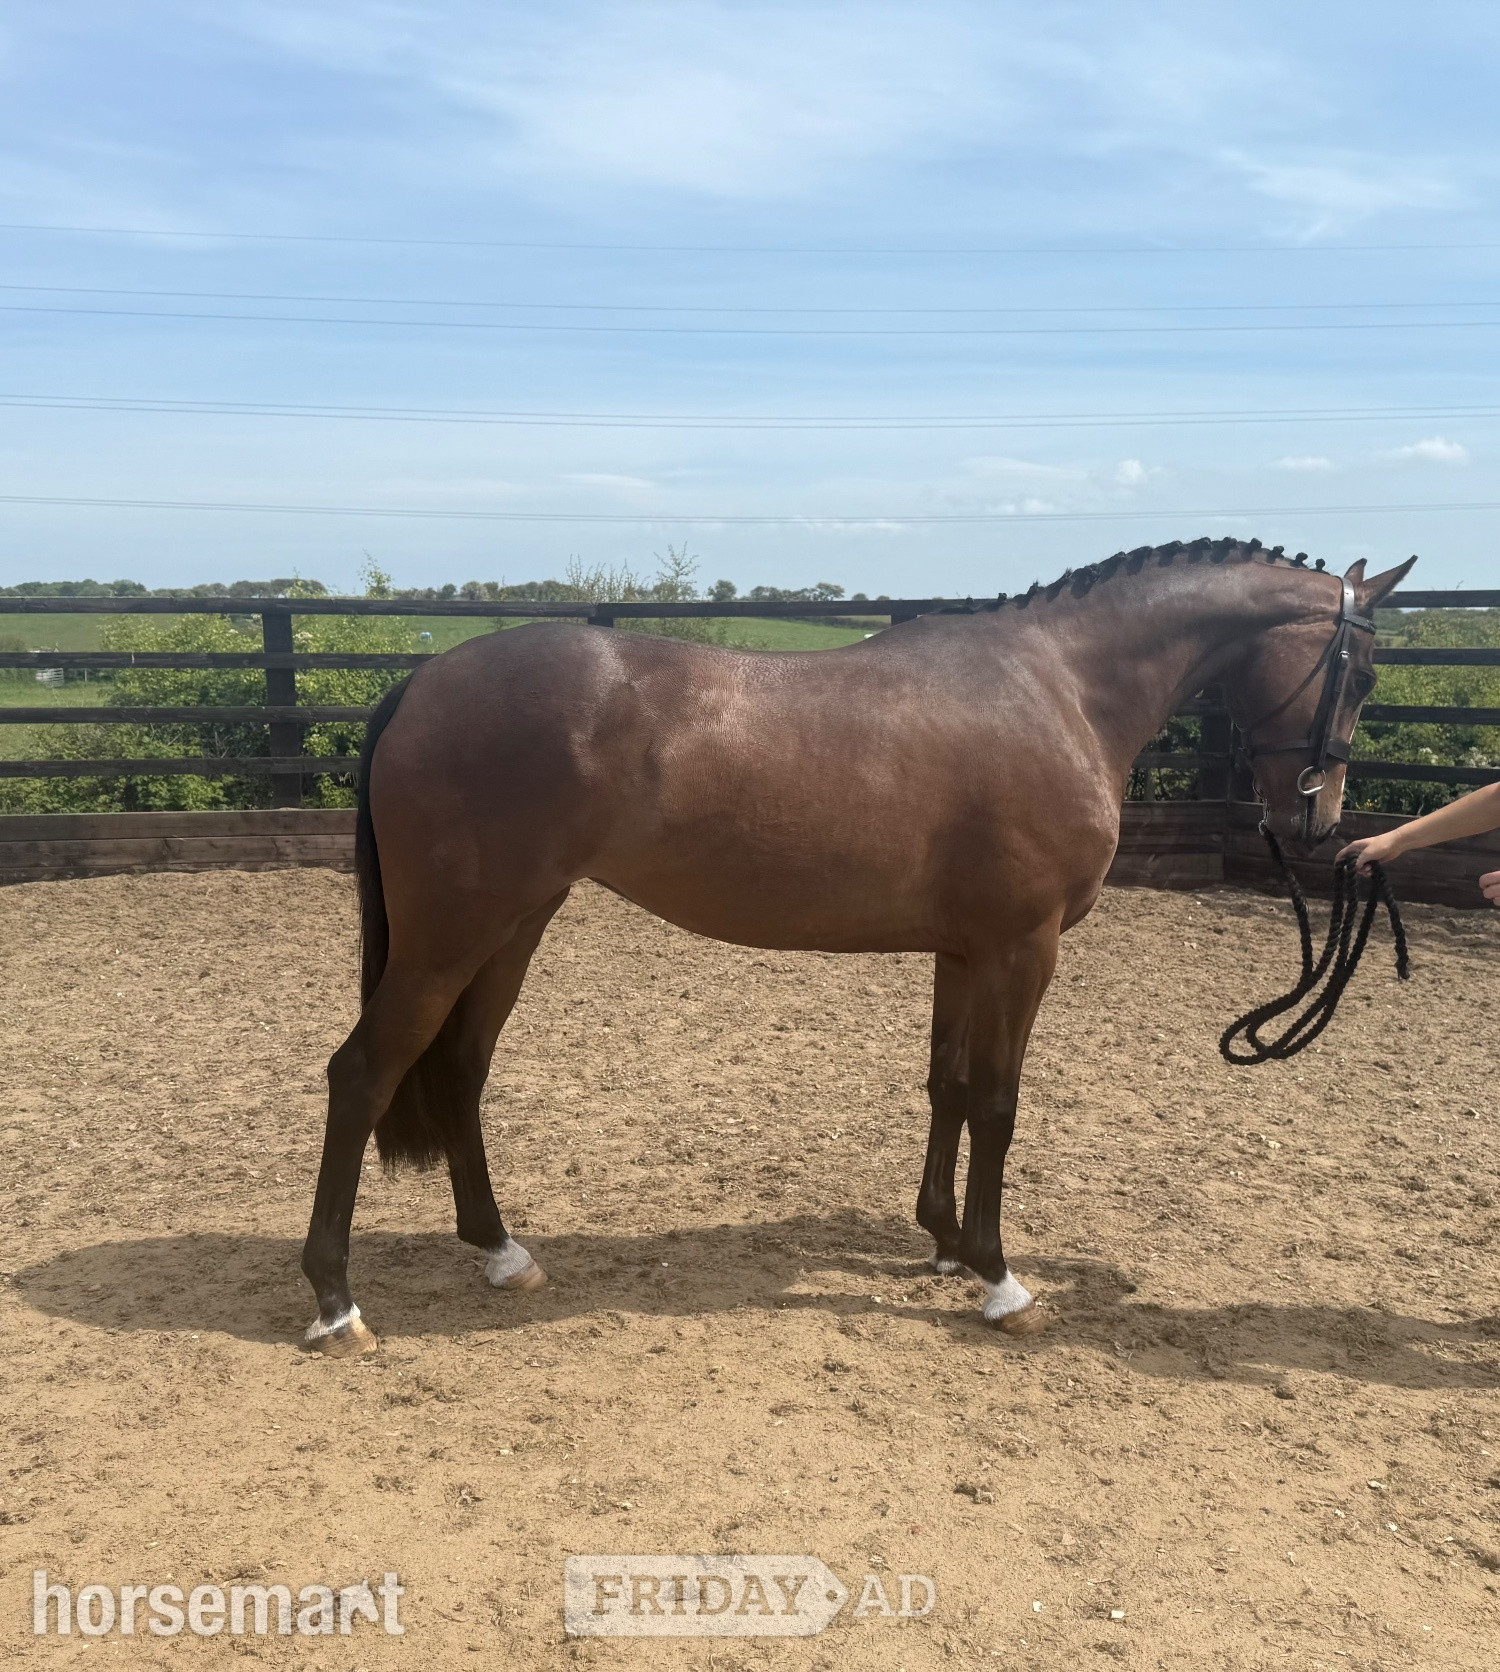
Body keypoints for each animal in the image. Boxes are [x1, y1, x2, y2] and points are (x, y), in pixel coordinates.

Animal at [299, 538, 1415, 1355]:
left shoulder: (965, 952)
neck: (1057, 687)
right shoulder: (1024, 949)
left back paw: (502, 1252)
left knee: (459, 1071)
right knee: (364, 1073)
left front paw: (947, 1243)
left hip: (513, 926)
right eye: (1361, 669)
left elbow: (948, 1086)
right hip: (454, 935)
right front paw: (1000, 1278)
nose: (1319, 823)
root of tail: (422, 682)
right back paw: (336, 1302)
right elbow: (999, 1103)